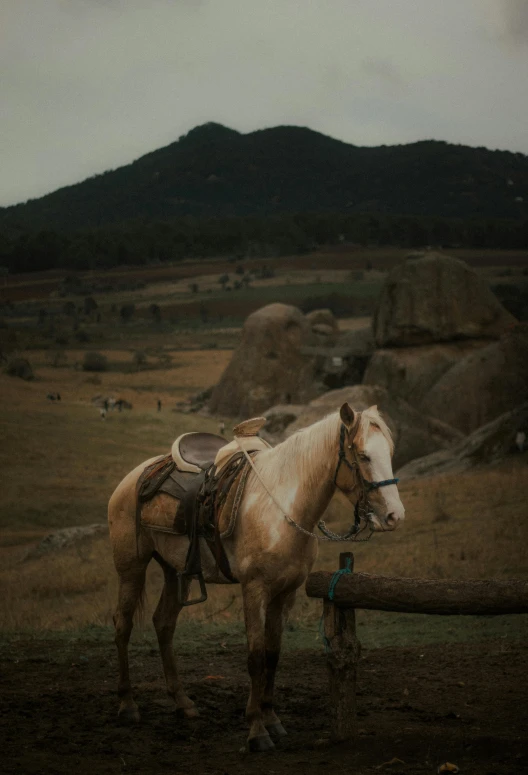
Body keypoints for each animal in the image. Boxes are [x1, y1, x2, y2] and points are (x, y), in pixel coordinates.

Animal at [107, 406, 404, 752]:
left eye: (389, 453)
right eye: (364, 455)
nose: (394, 516)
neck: (283, 509)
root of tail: (133, 477)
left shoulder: (286, 594)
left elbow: (273, 655)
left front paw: (272, 719)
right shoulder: (254, 589)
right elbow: (255, 656)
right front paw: (256, 730)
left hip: (174, 571)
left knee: (163, 623)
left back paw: (183, 703)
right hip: (132, 568)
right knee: (123, 625)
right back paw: (127, 705)